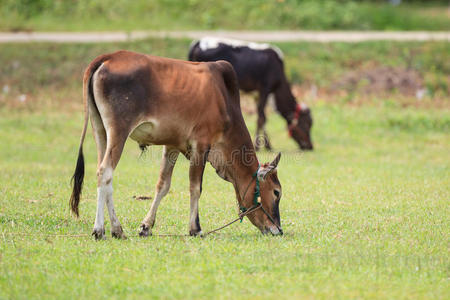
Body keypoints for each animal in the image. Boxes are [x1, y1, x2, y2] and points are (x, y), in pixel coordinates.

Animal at [69, 50, 284, 240]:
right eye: (277, 192)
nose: (278, 230)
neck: (224, 100)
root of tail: (108, 57)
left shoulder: (171, 146)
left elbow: (162, 185)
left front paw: (146, 226)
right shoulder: (201, 145)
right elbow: (195, 187)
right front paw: (195, 228)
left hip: (100, 131)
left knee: (102, 173)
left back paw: (114, 229)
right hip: (118, 131)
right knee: (105, 172)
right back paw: (102, 230)